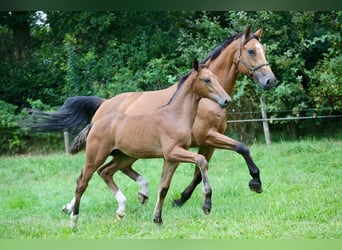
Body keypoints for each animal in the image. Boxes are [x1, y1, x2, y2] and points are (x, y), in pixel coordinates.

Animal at [28, 25, 276, 215]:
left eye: (263, 50)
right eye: (251, 51)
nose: (270, 81)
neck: (204, 101)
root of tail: (103, 105)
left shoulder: (207, 143)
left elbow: (199, 173)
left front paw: (180, 199)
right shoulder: (208, 136)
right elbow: (242, 148)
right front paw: (256, 182)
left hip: (126, 152)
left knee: (109, 170)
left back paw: (135, 194)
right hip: (109, 150)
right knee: (89, 173)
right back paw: (77, 206)